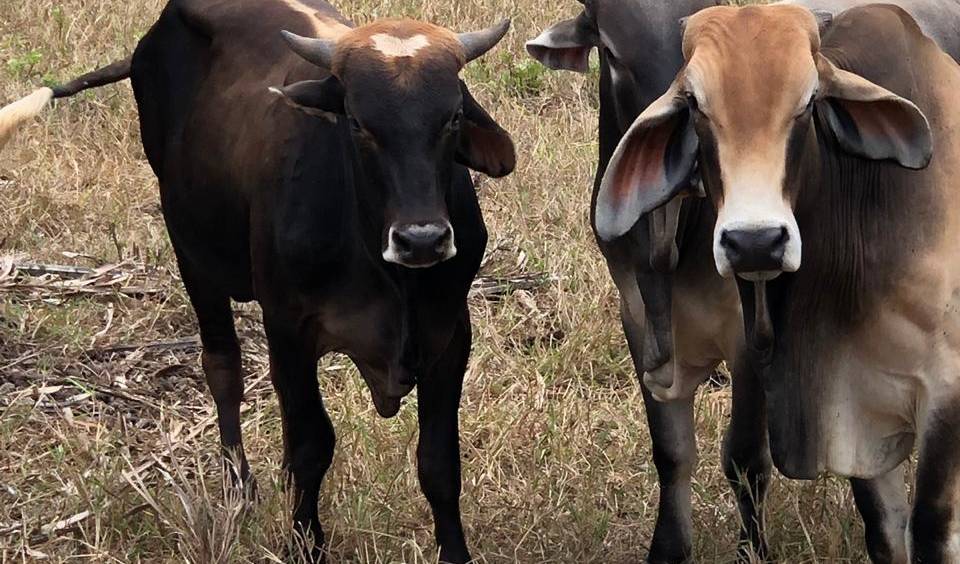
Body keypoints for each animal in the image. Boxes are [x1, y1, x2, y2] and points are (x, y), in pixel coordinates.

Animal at [0, 2, 516, 560]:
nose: (421, 240)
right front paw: (306, 544)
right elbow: (313, 446)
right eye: (359, 122)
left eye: (453, 117)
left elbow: (439, 463)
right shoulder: (288, 326)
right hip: (191, 253)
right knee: (223, 367)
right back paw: (238, 486)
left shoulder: (450, 334)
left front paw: (455, 552)